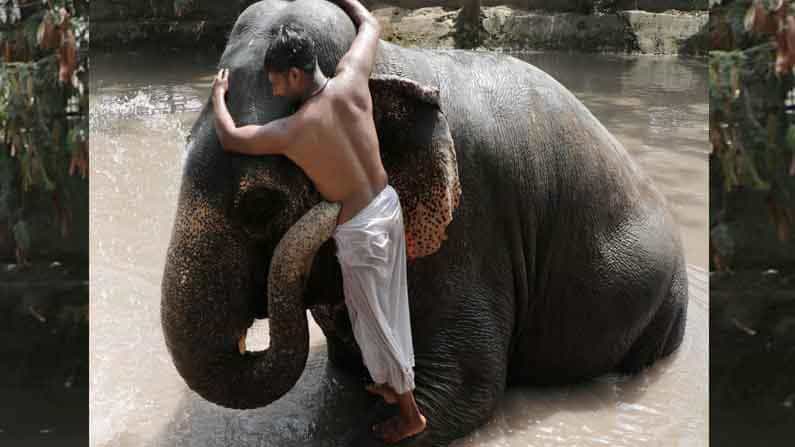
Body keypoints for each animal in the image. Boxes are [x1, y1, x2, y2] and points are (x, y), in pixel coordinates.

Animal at [160, 0, 689, 445]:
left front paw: (386, 425)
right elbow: (351, 371)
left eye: (261, 204)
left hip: (664, 302)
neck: (394, 63)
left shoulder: (468, 225)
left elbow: (465, 390)